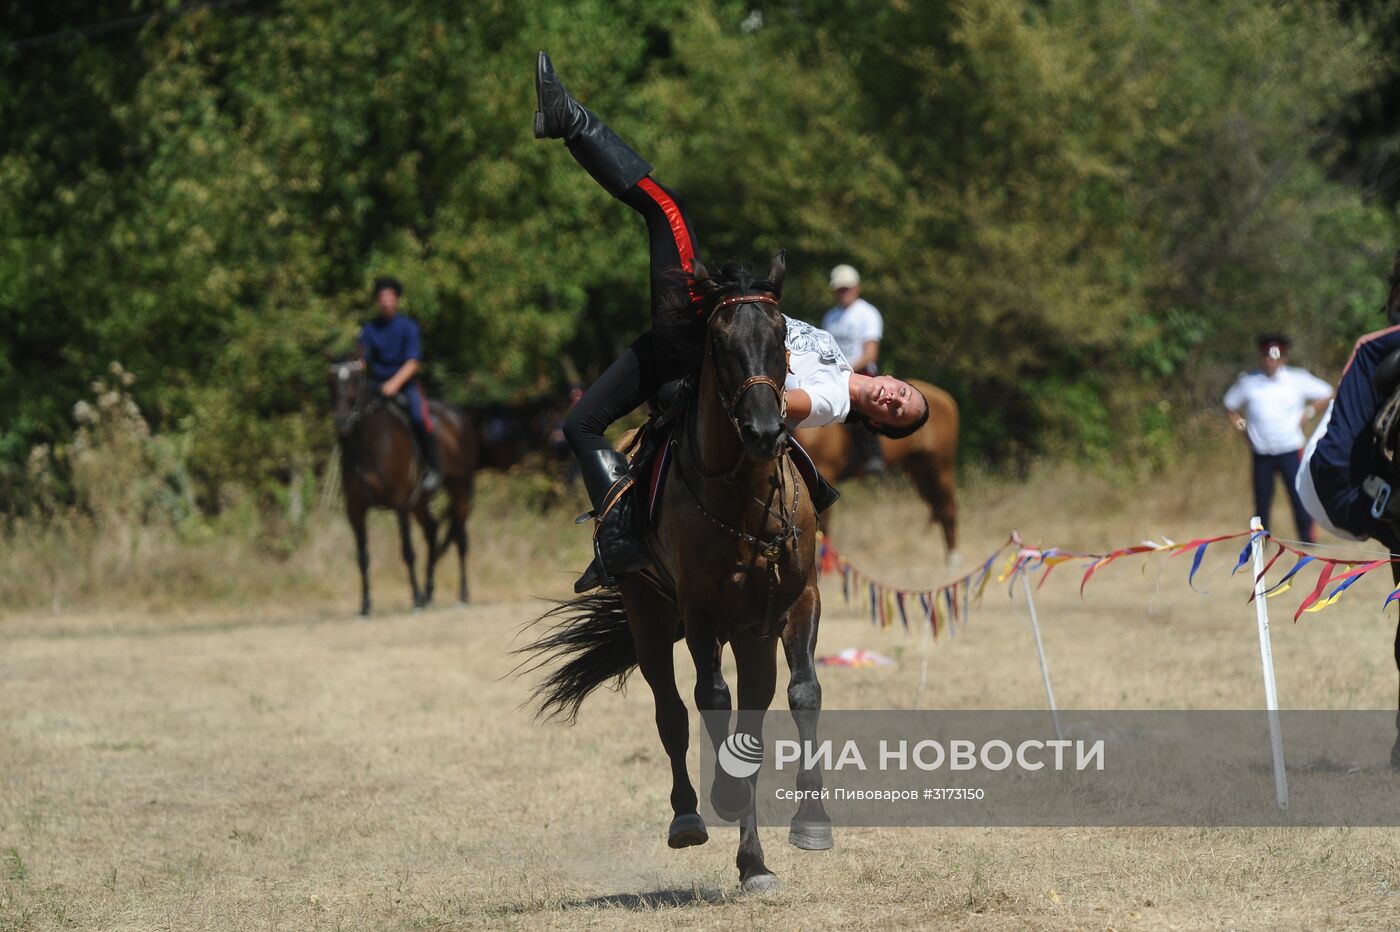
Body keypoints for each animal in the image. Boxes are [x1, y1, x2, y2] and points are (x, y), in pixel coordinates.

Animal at [326, 358, 476, 612]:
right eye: (332, 381)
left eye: (356, 380)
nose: (342, 421)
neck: (367, 445)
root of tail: (458, 416)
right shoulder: (355, 509)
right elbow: (362, 556)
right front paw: (365, 605)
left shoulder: (400, 504)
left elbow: (407, 551)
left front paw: (414, 598)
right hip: (420, 501)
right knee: (432, 530)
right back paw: (429, 592)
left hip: (459, 489)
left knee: (460, 539)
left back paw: (462, 595)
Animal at [523, 251, 828, 884]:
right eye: (720, 341)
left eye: (781, 336)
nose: (765, 431)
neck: (744, 498)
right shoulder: (701, 610)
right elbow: (708, 697)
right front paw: (723, 797)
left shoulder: (800, 599)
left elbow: (804, 693)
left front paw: (812, 820)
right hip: (652, 619)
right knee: (672, 711)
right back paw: (689, 817)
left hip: (752, 634)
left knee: (752, 715)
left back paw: (753, 863)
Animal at [800, 377, 963, 565]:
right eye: (901, 393)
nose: (890, 396)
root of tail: (947, 399)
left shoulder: (826, 471)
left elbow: (822, 528)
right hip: (919, 469)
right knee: (938, 507)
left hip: (941, 466)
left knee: (948, 509)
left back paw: (953, 563)